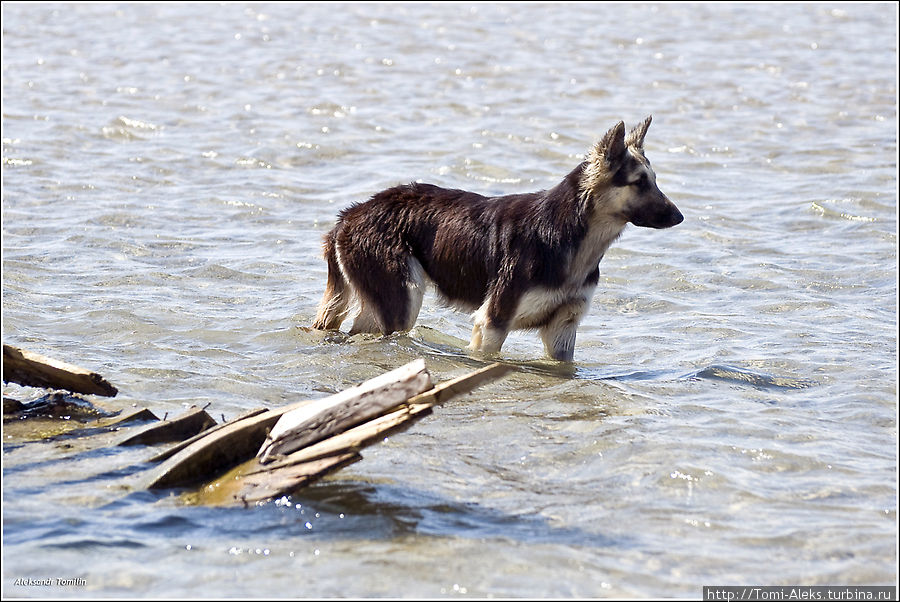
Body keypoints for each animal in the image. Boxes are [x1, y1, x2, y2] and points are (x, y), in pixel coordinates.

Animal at [312, 118, 684, 360]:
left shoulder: (563, 329)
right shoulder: (492, 323)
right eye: (639, 182)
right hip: (403, 300)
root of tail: (348, 217)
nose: (679, 217)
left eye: (654, 180)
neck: (572, 239)